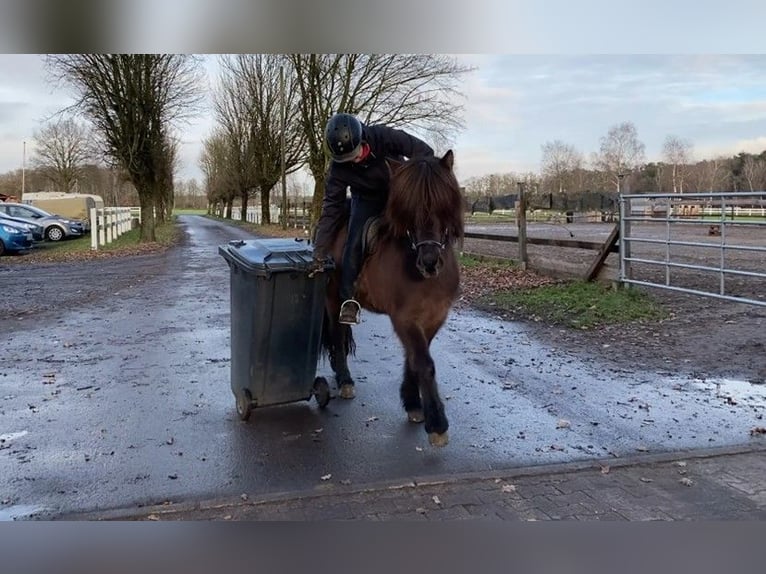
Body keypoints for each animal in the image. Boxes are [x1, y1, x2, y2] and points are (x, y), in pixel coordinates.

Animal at [320, 151, 464, 448]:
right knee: (337, 336)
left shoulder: (433, 318)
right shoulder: (404, 318)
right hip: (332, 299)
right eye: (408, 211)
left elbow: (415, 358)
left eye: (444, 206)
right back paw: (345, 379)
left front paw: (413, 404)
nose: (429, 262)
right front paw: (437, 423)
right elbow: (424, 363)